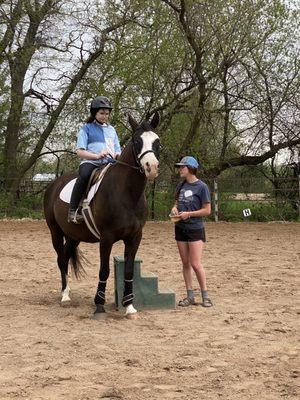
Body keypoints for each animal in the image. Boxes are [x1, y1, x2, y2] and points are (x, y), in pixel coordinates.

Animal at [43, 112, 161, 318]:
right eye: (137, 141)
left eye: (157, 141)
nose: (151, 167)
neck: (127, 193)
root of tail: (54, 184)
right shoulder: (106, 238)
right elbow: (104, 270)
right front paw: (99, 305)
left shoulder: (135, 237)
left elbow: (129, 270)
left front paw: (129, 306)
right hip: (55, 232)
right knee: (60, 259)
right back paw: (65, 295)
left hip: (74, 236)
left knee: (65, 256)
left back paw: (67, 292)